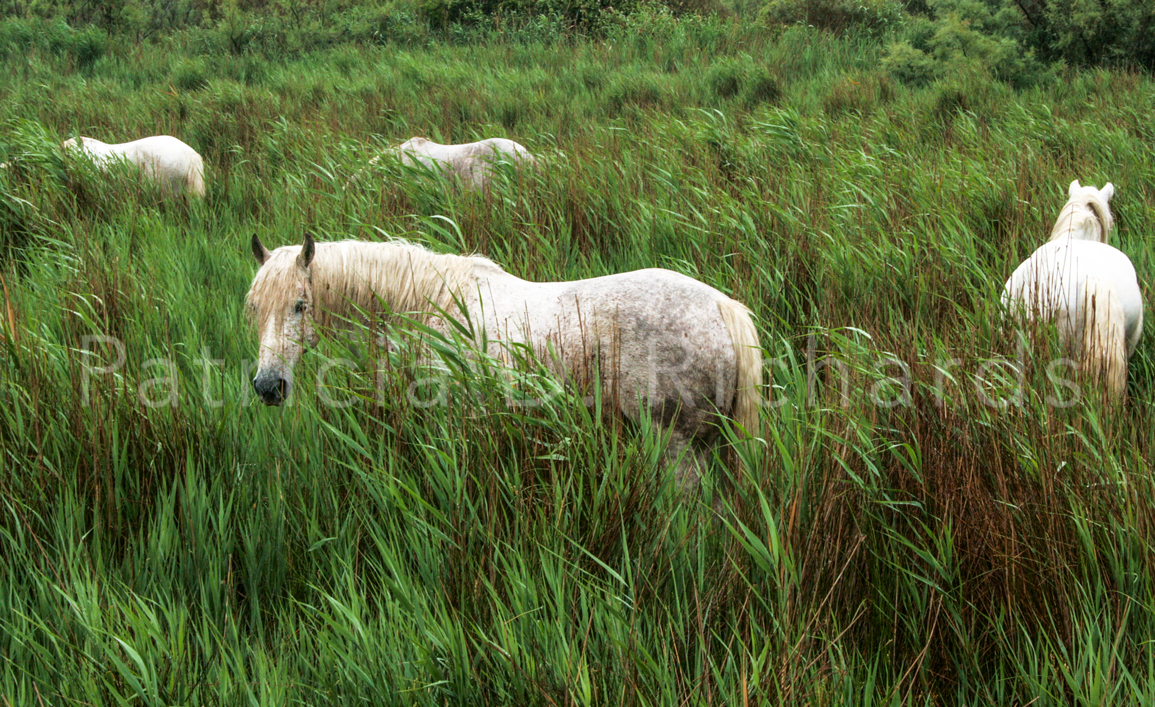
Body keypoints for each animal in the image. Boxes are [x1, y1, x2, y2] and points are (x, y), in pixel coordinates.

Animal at [246, 233, 763, 487]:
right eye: (253, 308)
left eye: (300, 305)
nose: (269, 386)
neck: (425, 304)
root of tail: (723, 307)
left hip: (676, 446)